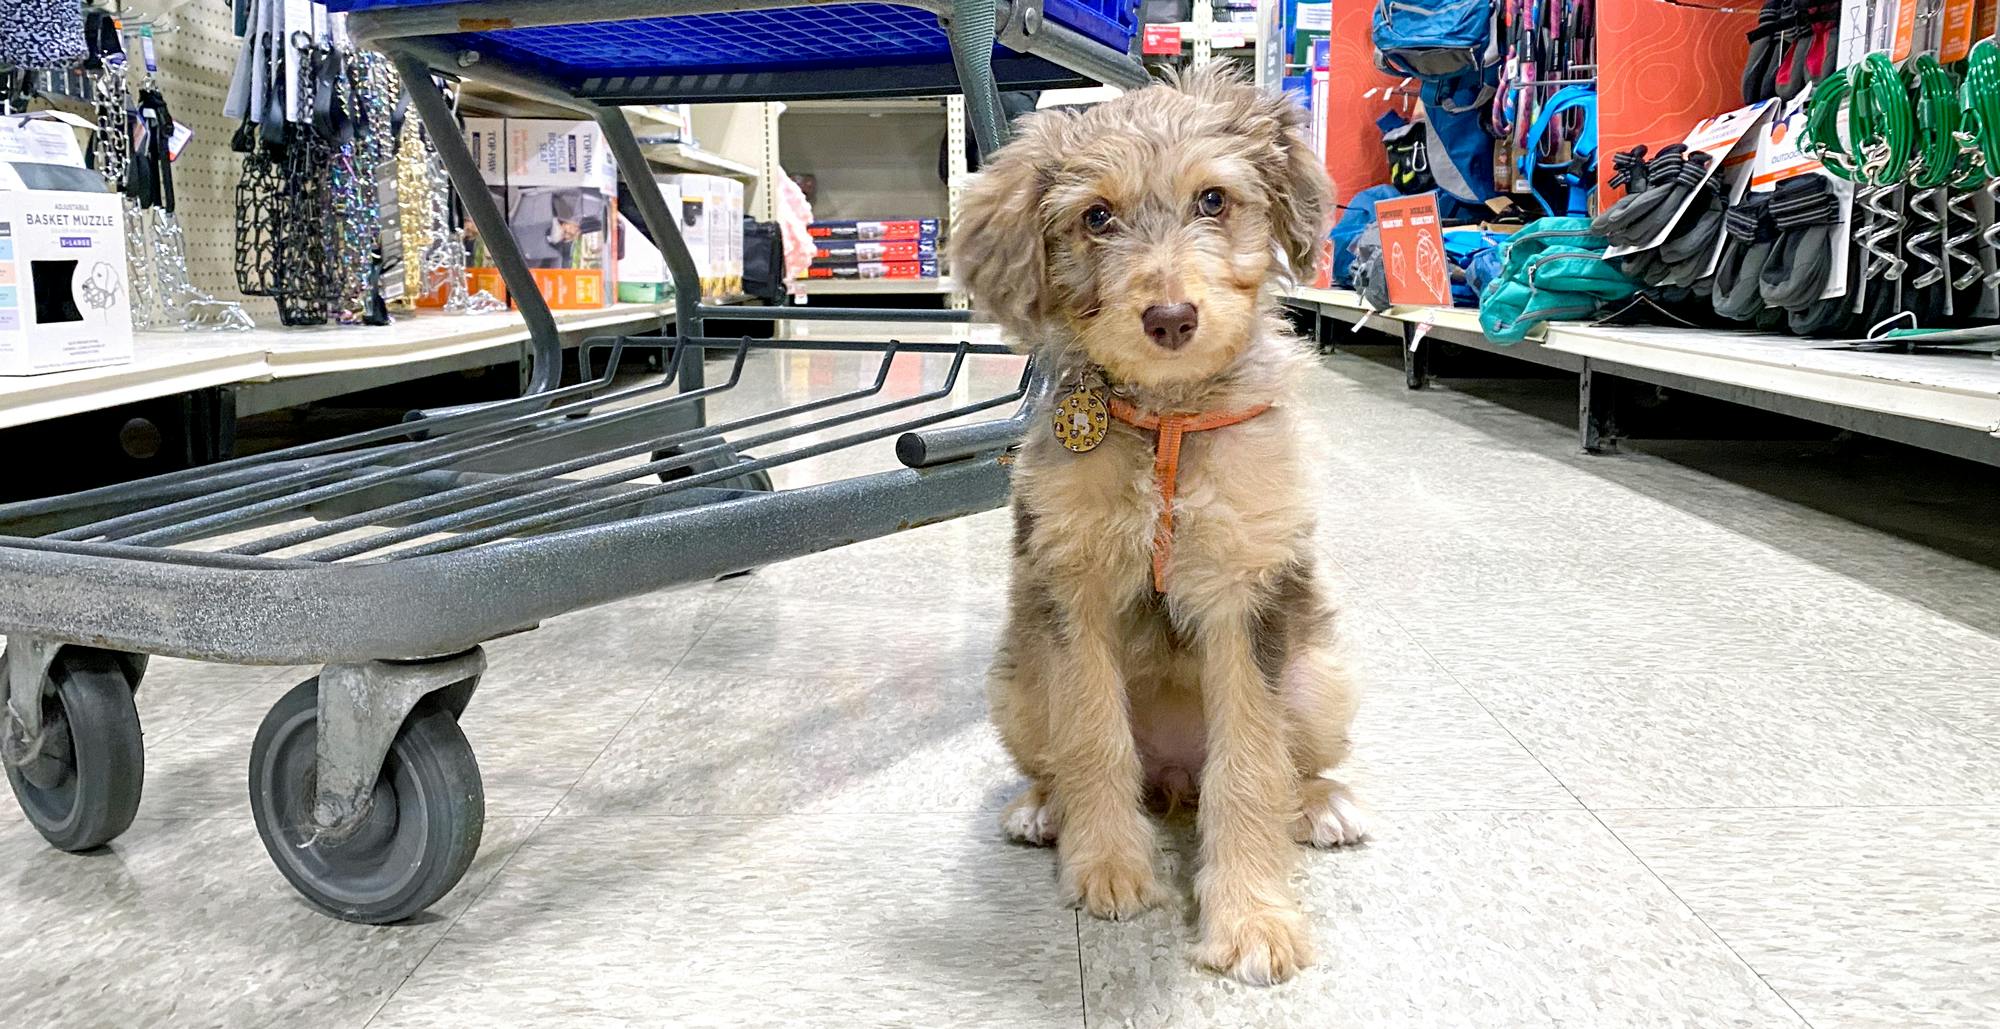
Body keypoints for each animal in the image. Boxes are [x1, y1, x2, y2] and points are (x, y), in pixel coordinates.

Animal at [956, 68, 1368, 980]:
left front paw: (1251, 916)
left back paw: (1321, 803)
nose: (1171, 317)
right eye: (1096, 217)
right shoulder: (1072, 586)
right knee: (1060, 755)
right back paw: (1044, 808)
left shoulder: (1248, 594)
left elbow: (1251, 763)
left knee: (1290, 762)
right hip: (1015, 681)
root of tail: (1175, 775)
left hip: (1323, 677)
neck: (1169, 417)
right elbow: (1093, 737)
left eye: (1213, 199)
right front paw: (1107, 865)